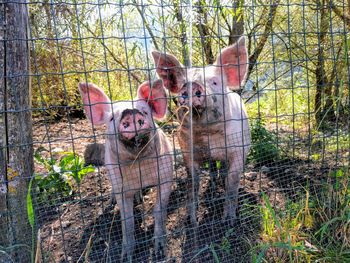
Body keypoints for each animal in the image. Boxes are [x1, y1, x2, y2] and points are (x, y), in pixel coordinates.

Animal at [78, 80, 173, 262]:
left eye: (145, 111)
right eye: (111, 118)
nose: (130, 113)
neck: (138, 167)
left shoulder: (165, 175)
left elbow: (159, 209)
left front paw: (159, 251)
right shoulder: (120, 186)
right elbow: (127, 220)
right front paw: (125, 256)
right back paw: (111, 203)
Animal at [152, 36, 250, 227]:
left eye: (214, 82)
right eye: (182, 84)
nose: (191, 85)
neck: (207, 133)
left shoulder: (239, 149)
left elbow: (232, 181)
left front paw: (228, 221)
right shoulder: (187, 151)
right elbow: (193, 183)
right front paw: (192, 222)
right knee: (212, 168)